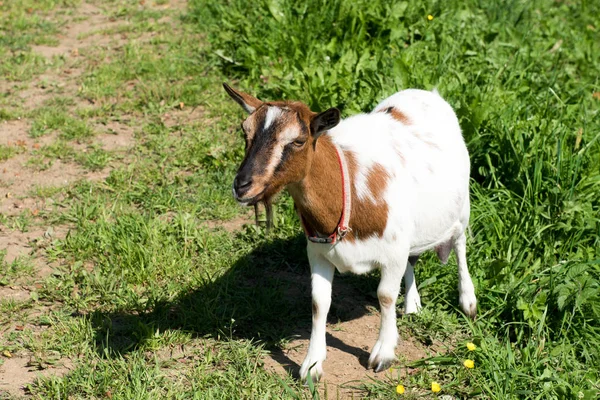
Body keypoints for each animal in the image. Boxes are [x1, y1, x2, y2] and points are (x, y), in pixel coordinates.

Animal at [223, 83, 476, 382]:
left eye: (298, 141)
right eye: (245, 131)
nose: (242, 185)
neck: (350, 191)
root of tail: (426, 93)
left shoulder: (393, 251)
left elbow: (385, 296)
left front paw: (383, 354)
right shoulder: (318, 251)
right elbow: (319, 302)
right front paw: (311, 365)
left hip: (462, 208)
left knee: (460, 245)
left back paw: (468, 302)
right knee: (413, 260)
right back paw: (412, 305)